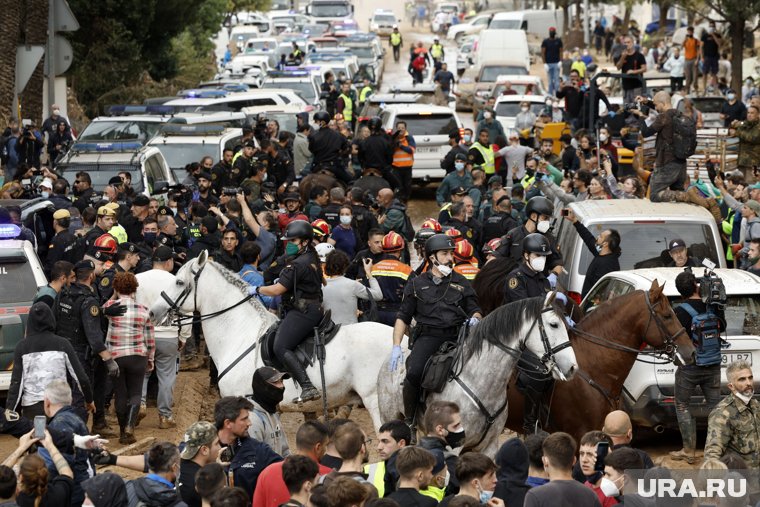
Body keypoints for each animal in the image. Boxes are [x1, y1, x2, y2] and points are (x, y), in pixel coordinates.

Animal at [378, 294, 580, 456]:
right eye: (554, 325)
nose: (572, 367)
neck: (481, 383)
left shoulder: (489, 447)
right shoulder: (454, 447)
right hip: (391, 419)